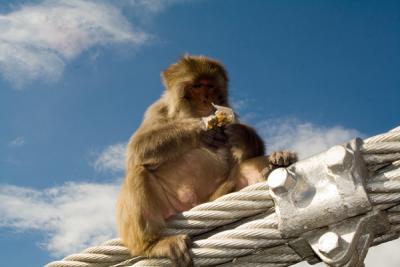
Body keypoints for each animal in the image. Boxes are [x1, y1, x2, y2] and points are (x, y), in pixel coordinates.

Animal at [116, 55, 296, 267]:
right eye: (196, 86)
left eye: (209, 86)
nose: (205, 99)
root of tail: (192, 205)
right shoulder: (157, 109)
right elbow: (138, 148)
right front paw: (202, 129)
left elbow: (241, 154)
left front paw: (240, 133)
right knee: (138, 171)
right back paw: (153, 244)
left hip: (216, 195)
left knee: (246, 168)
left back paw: (278, 161)